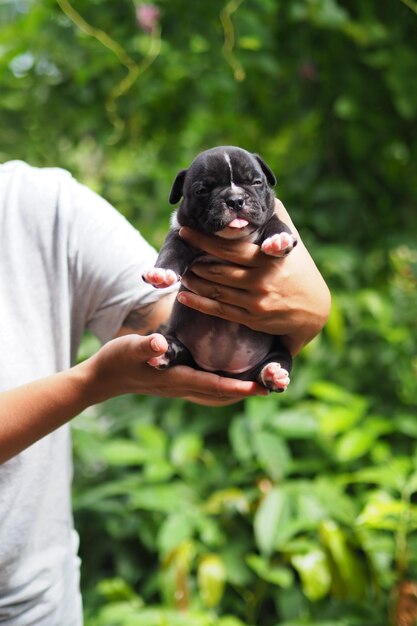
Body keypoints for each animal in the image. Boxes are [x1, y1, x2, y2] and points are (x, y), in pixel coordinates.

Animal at [143, 146, 296, 390]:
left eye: (256, 182)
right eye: (202, 190)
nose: (235, 200)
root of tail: (222, 370)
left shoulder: (269, 217)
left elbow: (275, 222)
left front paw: (279, 238)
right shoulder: (180, 234)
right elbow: (171, 251)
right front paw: (162, 273)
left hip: (276, 352)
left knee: (273, 364)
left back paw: (273, 374)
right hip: (174, 338)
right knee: (177, 350)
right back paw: (165, 353)